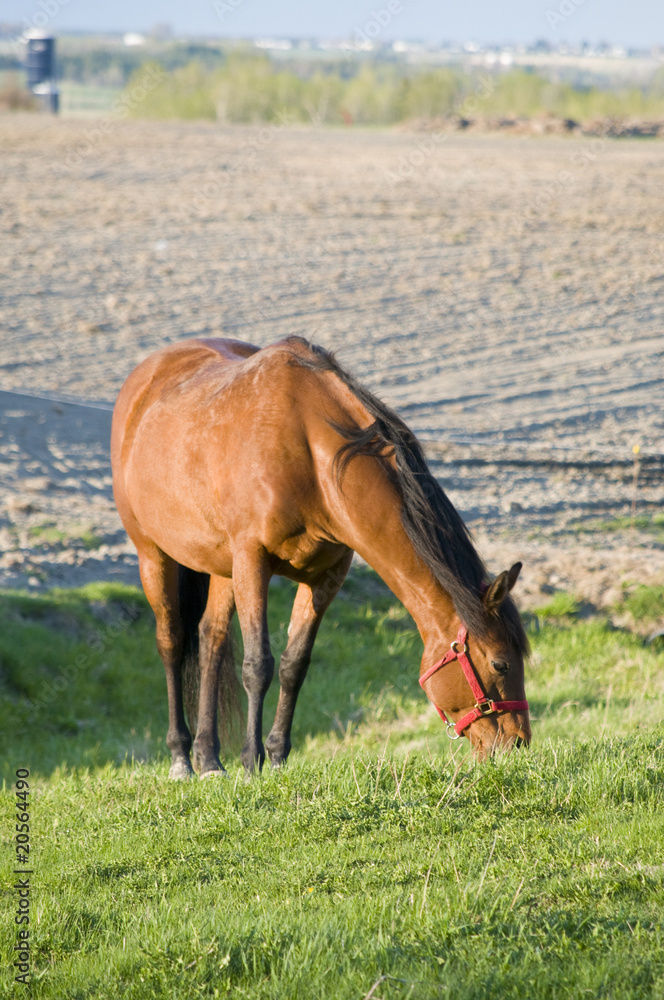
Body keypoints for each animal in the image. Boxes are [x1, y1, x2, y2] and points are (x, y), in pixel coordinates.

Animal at [111, 336, 530, 778]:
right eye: (500, 664)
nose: (518, 744)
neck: (311, 453)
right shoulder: (253, 561)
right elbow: (257, 665)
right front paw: (252, 760)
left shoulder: (325, 575)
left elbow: (294, 665)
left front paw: (277, 756)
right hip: (153, 556)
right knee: (172, 641)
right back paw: (180, 756)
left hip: (223, 568)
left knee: (211, 640)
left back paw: (208, 757)